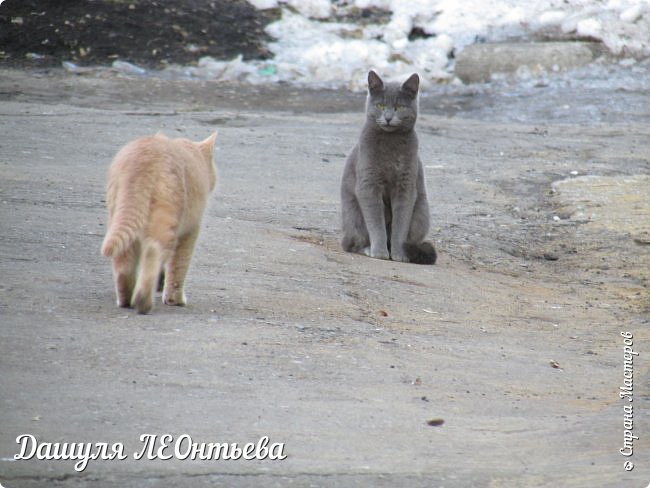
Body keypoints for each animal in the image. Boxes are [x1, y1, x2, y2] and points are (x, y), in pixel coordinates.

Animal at [101, 131, 218, 312]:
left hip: (119, 213)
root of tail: (144, 160)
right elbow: (178, 268)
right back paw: (143, 300)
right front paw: (175, 299)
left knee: (123, 263)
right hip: (166, 220)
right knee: (153, 251)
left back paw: (126, 299)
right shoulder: (190, 231)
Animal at [340, 69, 436, 264]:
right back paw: (368, 249)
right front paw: (379, 252)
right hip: (353, 215)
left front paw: (399, 255)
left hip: (422, 214)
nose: (388, 118)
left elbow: (401, 223)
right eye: (381, 105)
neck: (390, 143)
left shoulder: (405, 185)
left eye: (399, 107)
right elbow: (376, 223)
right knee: (352, 243)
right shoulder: (368, 183)